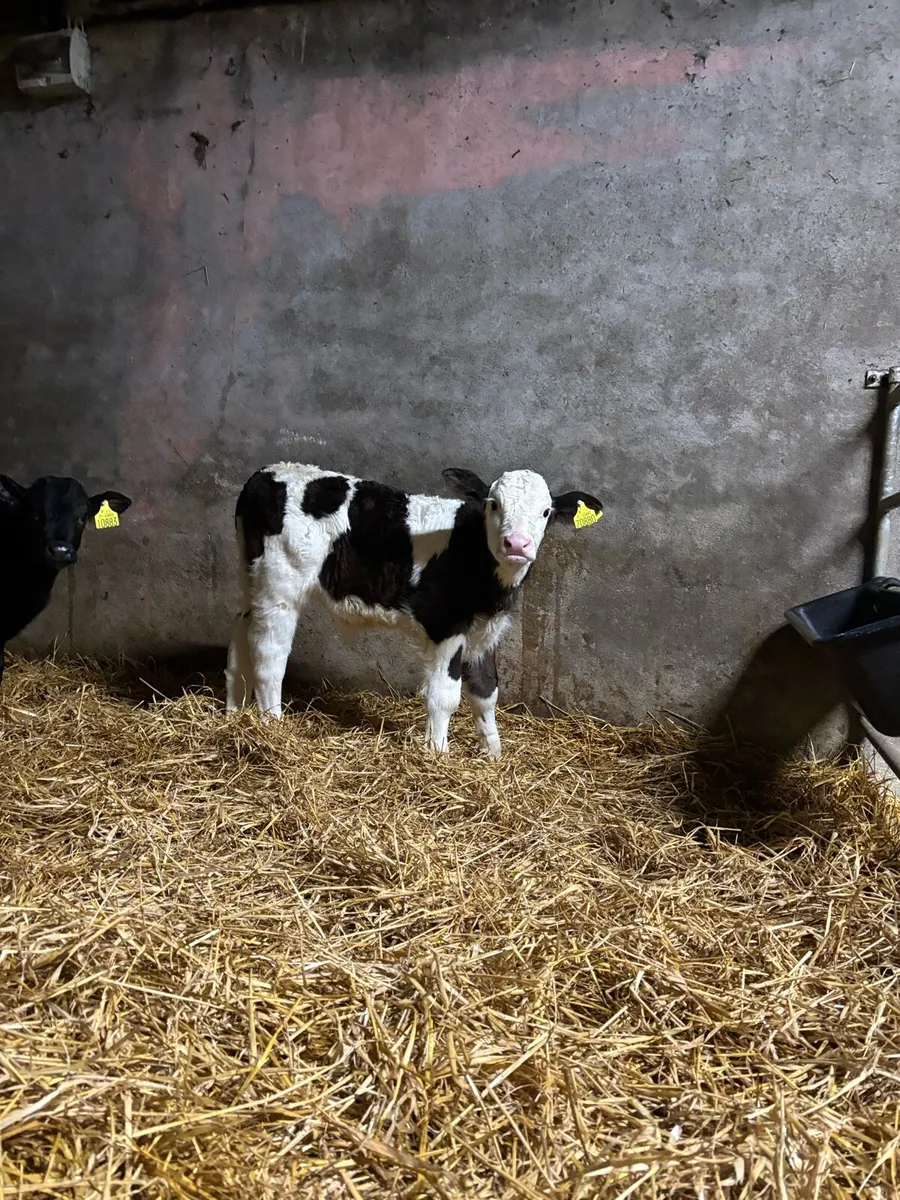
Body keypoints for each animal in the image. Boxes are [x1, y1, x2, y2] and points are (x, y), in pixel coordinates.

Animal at [226, 463, 603, 758]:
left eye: (546, 512)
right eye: (494, 505)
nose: (517, 544)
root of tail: (265, 474)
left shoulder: (486, 630)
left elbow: (486, 691)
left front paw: (493, 755)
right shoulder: (445, 625)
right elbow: (445, 695)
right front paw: (438, 755)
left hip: (252, 579)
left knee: (240, 633)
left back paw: (234, 715)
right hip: (280, 588)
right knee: (269, 656)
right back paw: (272, 727)